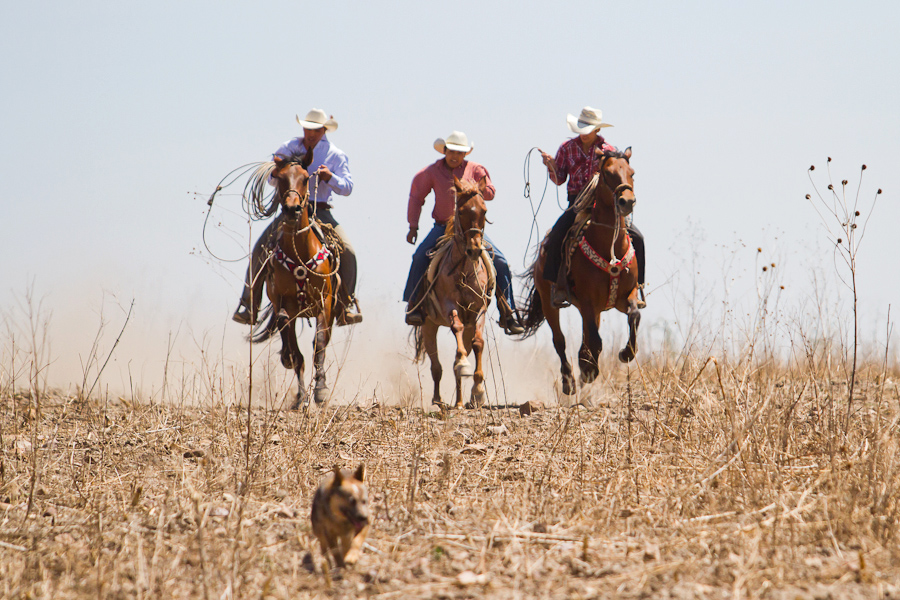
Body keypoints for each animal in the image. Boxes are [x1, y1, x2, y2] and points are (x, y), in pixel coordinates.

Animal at [251, 151, 340, 408]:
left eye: (305, 178)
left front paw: (321, 390)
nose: (292, 209)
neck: (299, 250)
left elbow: (319, 344)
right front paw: (301, 397)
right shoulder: (284, 303)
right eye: (278, 177)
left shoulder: (324, 302)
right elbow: (296, 354)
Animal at [414, 177, 496, 408]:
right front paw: (462, 363)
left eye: (484, 211)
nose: (474, 250)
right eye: (461, 211)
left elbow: (478, 343)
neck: (465, 271)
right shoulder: (449, 305)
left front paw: (478, 391)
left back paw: (460, 400)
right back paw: (438, 399)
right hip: (429, 326)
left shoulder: (479, 309)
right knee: (437, 366)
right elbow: (456, 327)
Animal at [520, 148, 640, 396]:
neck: (610, 249)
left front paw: (626, 353)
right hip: (549, 301)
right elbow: (594, 341)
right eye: (607, 173)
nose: (627, 201)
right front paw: (589, 370)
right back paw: (569, 381)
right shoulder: (587, 301)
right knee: (560, 340)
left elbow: (634, 316)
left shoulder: (626, 296)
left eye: (632, 173)